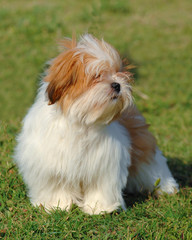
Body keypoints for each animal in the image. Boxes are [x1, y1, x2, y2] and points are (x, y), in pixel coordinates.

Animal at [14, 33, 178, 214]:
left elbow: (100, 186)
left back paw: (166, 187)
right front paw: (56, 205)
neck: (81, 121)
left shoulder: (105, 163)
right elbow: (55, 185)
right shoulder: (50, 162)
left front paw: (99, 208)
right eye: (97, 75)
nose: (117, 85)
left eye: (118, 73)